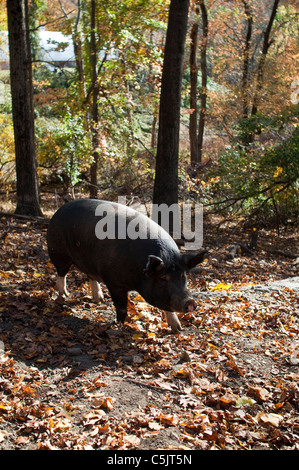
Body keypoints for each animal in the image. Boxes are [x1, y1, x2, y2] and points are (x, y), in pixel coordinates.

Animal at [47, 200, 207, 332]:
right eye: (163, 278)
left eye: (183, 276)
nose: (191, 302)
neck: (136, 279)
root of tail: (59, 210)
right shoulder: (114, 282)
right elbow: (121, 306)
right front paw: (118, 325)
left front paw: (178, 329)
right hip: (57, 252)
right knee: (61, 273)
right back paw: (63, 296)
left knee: (90, 275)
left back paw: (99, 300)